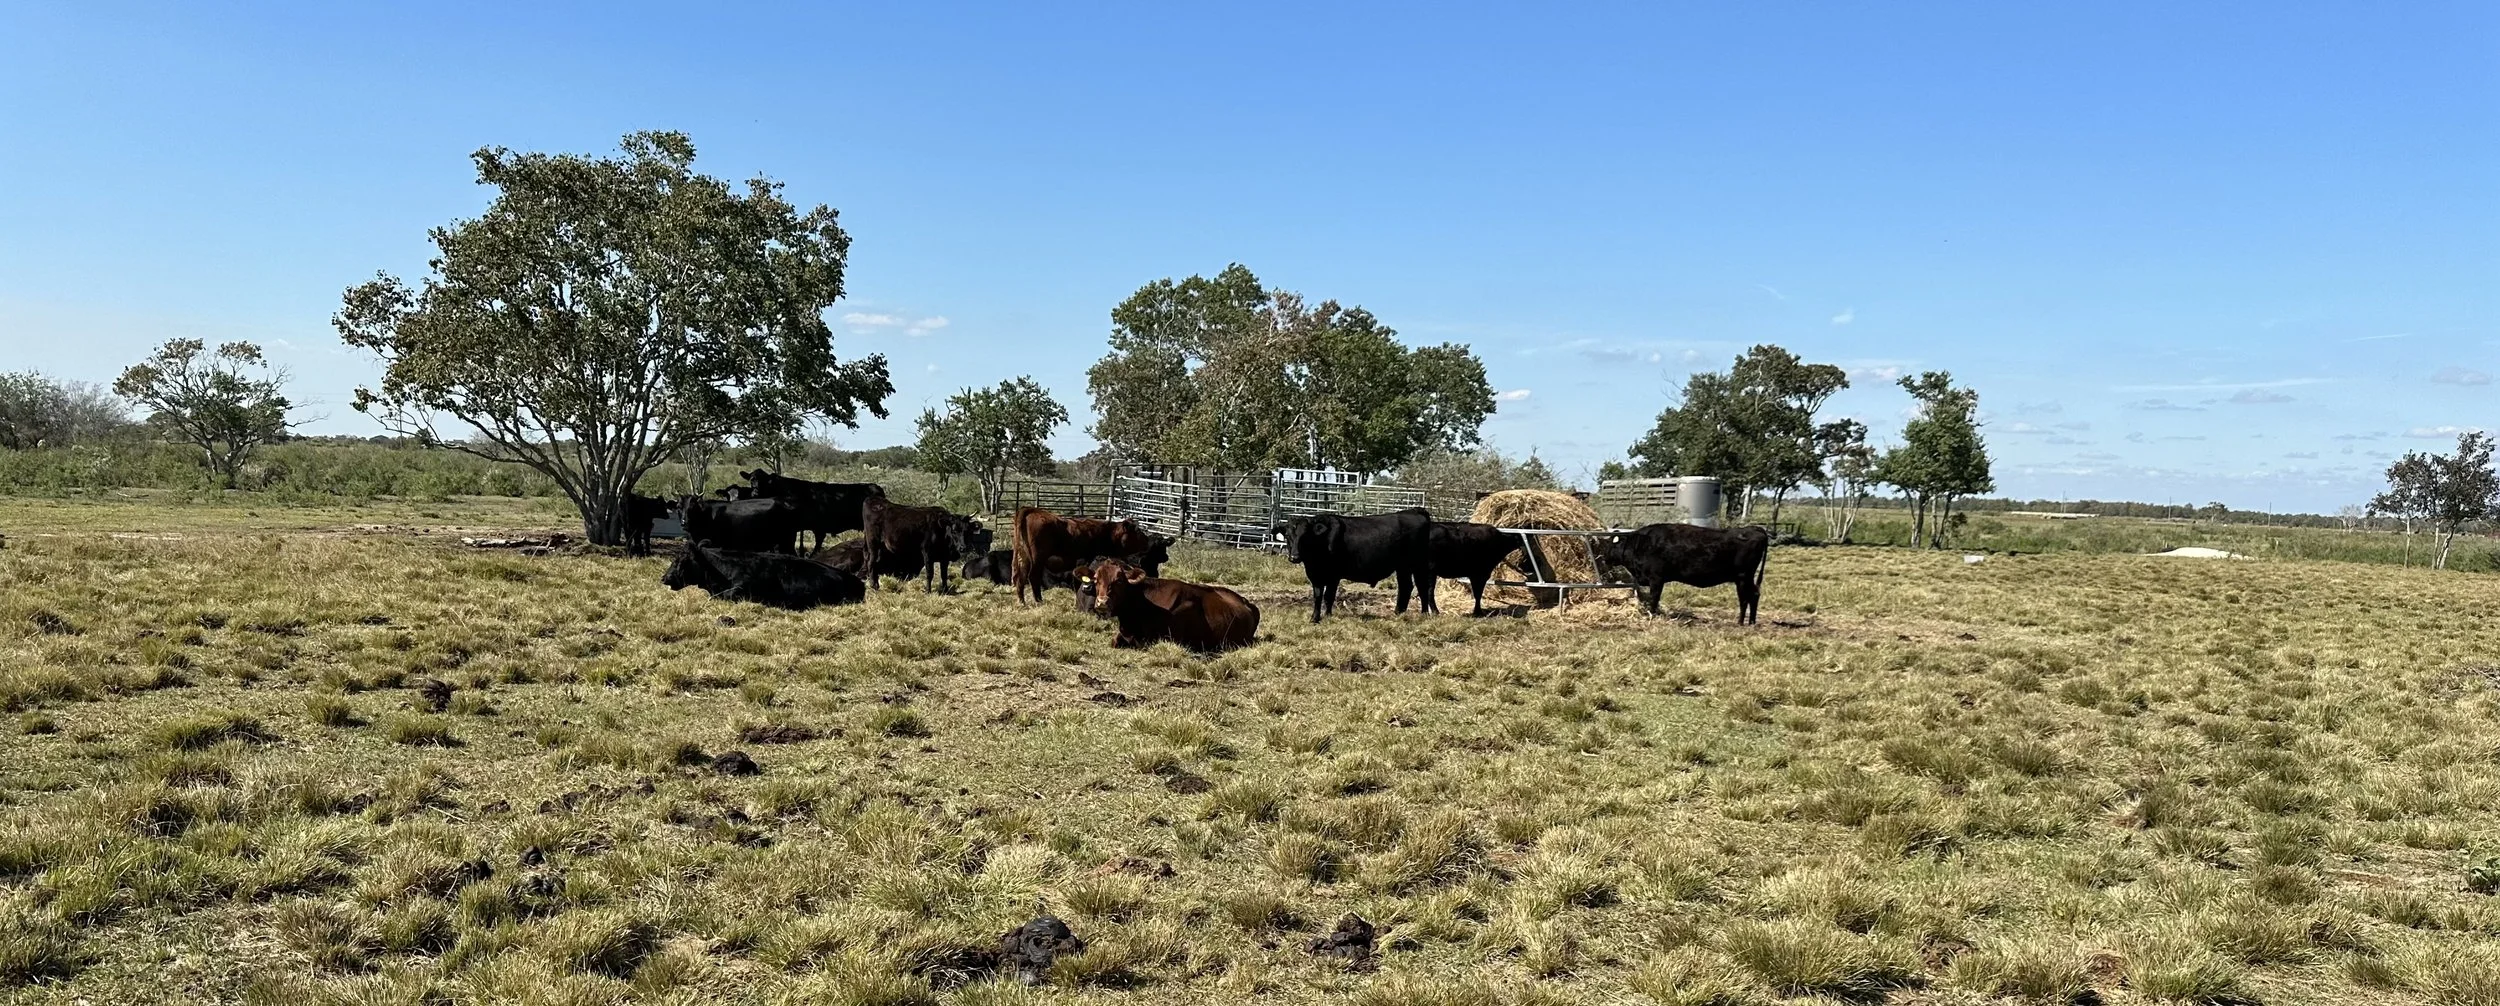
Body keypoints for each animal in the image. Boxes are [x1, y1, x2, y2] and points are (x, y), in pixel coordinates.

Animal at [860, 498, 992, 592]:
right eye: (954, 530)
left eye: (967, 531)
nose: (962, 548)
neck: (941, 531)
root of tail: (875, 501)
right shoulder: (927, 553)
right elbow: (930, 573)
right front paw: (928, 590)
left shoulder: (944, 558)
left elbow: (944, 574)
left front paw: (945, 590)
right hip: (873, 543)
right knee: (871, 563)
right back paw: (874, 586)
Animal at [1011, 507, 1170, 604]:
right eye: (1137, 531)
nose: (1147, 540)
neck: (1106, 533)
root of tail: (1033, 510)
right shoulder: (1084, 558)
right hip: (1037, 558)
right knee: (1033, 577)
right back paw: (1038, 600)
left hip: (1023, 557)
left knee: (1020, 577)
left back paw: (1022, 601)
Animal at [1274, 507, 1436, 623]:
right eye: (1288, 535)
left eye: (1305, 536)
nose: (1294, 557)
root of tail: (1413, 511)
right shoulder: (1316, 575)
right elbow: (1318, 596)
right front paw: (1314, 618)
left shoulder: (1334, 576)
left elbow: (1328, 596)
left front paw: (1328, 616)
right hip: (1402, 567)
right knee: (1406, 586)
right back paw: (1398, 612)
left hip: (1417, 564)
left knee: (1422, 586)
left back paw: (1424, 614)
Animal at [1595, 522, 1773, 624]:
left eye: (1610, 545)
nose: (1603, 557)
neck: (1641, 544)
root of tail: (1754, 529)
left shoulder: (1656, 578)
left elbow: (1654, 598)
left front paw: (1652, 614)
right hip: (1746, 578)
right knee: (1755, 594)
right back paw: (1752, 621)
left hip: (1743, 577)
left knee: (1744, 598)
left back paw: (1741, 621)